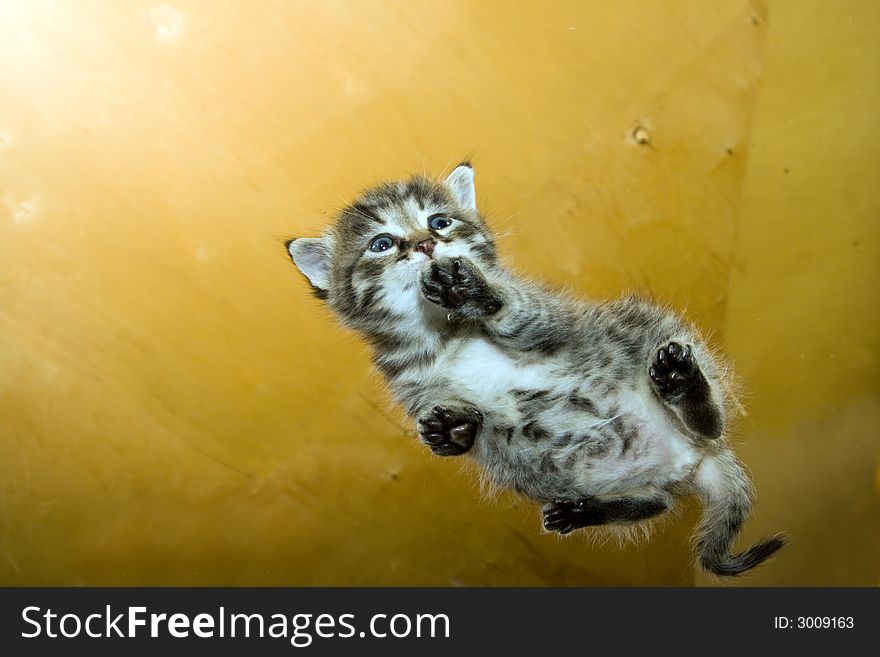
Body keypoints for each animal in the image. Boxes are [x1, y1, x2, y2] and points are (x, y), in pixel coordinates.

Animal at [286, 164, 788, 576]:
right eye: (382, 244)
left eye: (440, 221)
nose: (428, 244)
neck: (444, 337)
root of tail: (690, 460)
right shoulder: (410, 384)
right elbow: (455, 417)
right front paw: (452, 428)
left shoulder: (552, 320)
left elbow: (518, 311)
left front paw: (474, 290)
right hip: (536, 469)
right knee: (656, 501)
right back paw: (588, 510)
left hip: (649, 335)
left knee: (711, 422)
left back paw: (682, 384)